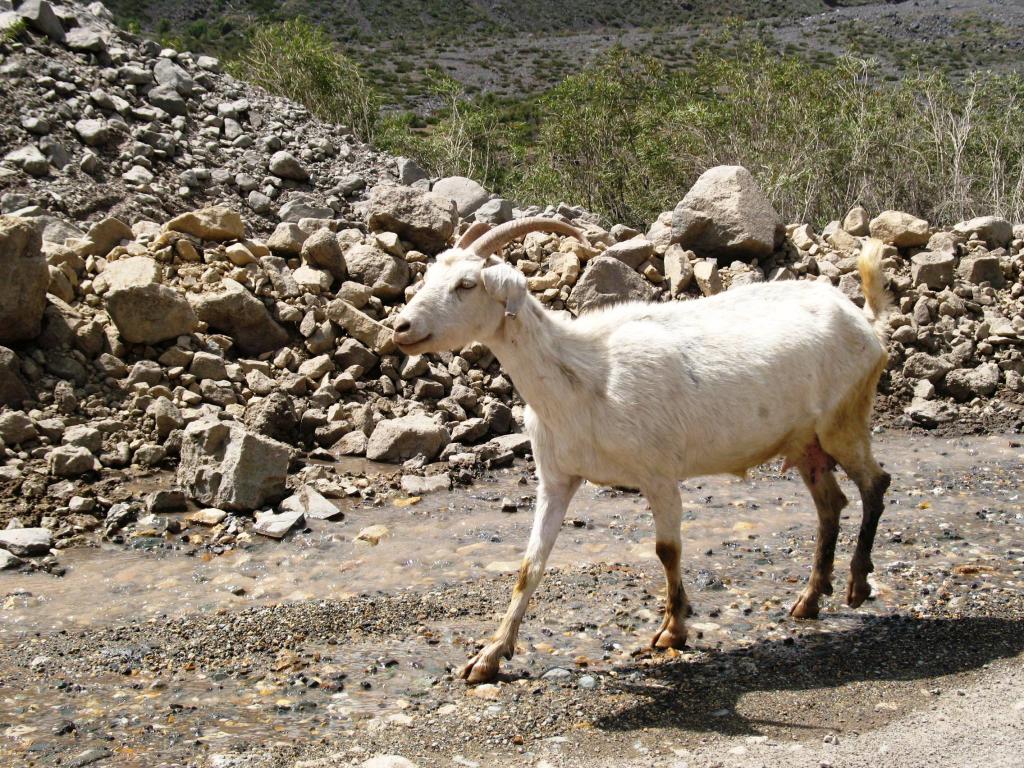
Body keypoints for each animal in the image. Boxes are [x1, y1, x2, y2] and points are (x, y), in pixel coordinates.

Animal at [395, 218, 892, 684]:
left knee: (875, 483)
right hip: (806, 441)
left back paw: (857, 583)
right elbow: (529, 566)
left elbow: (666, 549)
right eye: (430, 275)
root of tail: (866, 322)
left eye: (467, 284)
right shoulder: (556, 478)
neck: (584, 377)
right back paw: (810, 599)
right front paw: (489, 656)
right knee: (831, 504)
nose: (401, 327)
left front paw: (673, 630)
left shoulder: (659, 473)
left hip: (844, 418)